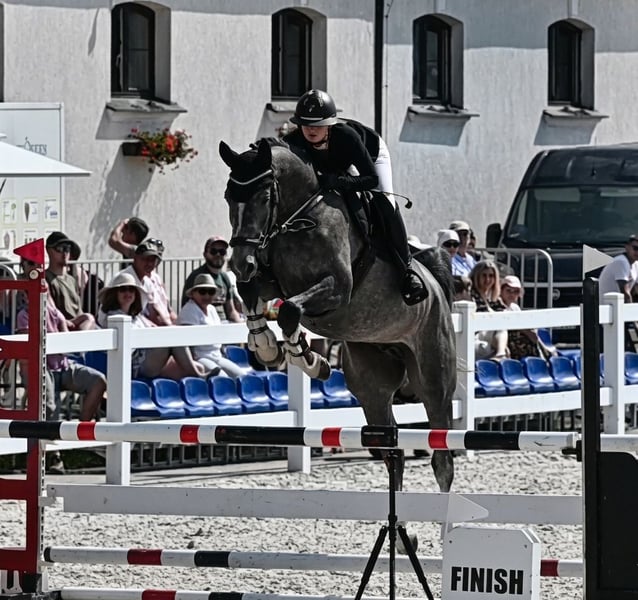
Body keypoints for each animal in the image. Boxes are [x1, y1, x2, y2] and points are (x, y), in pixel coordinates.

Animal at [218, 138, 456, 496]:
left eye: (264, 197)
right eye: (229, 197)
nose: (240, 262)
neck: (300, 217)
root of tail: (437, 288)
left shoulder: (337, 290)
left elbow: (289, 310)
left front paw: (308, 359)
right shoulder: (272, 281)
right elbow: (252, 293)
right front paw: (268, 348)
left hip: (433, 378)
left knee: (442, 458)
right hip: (372, 385)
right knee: (393, 453)